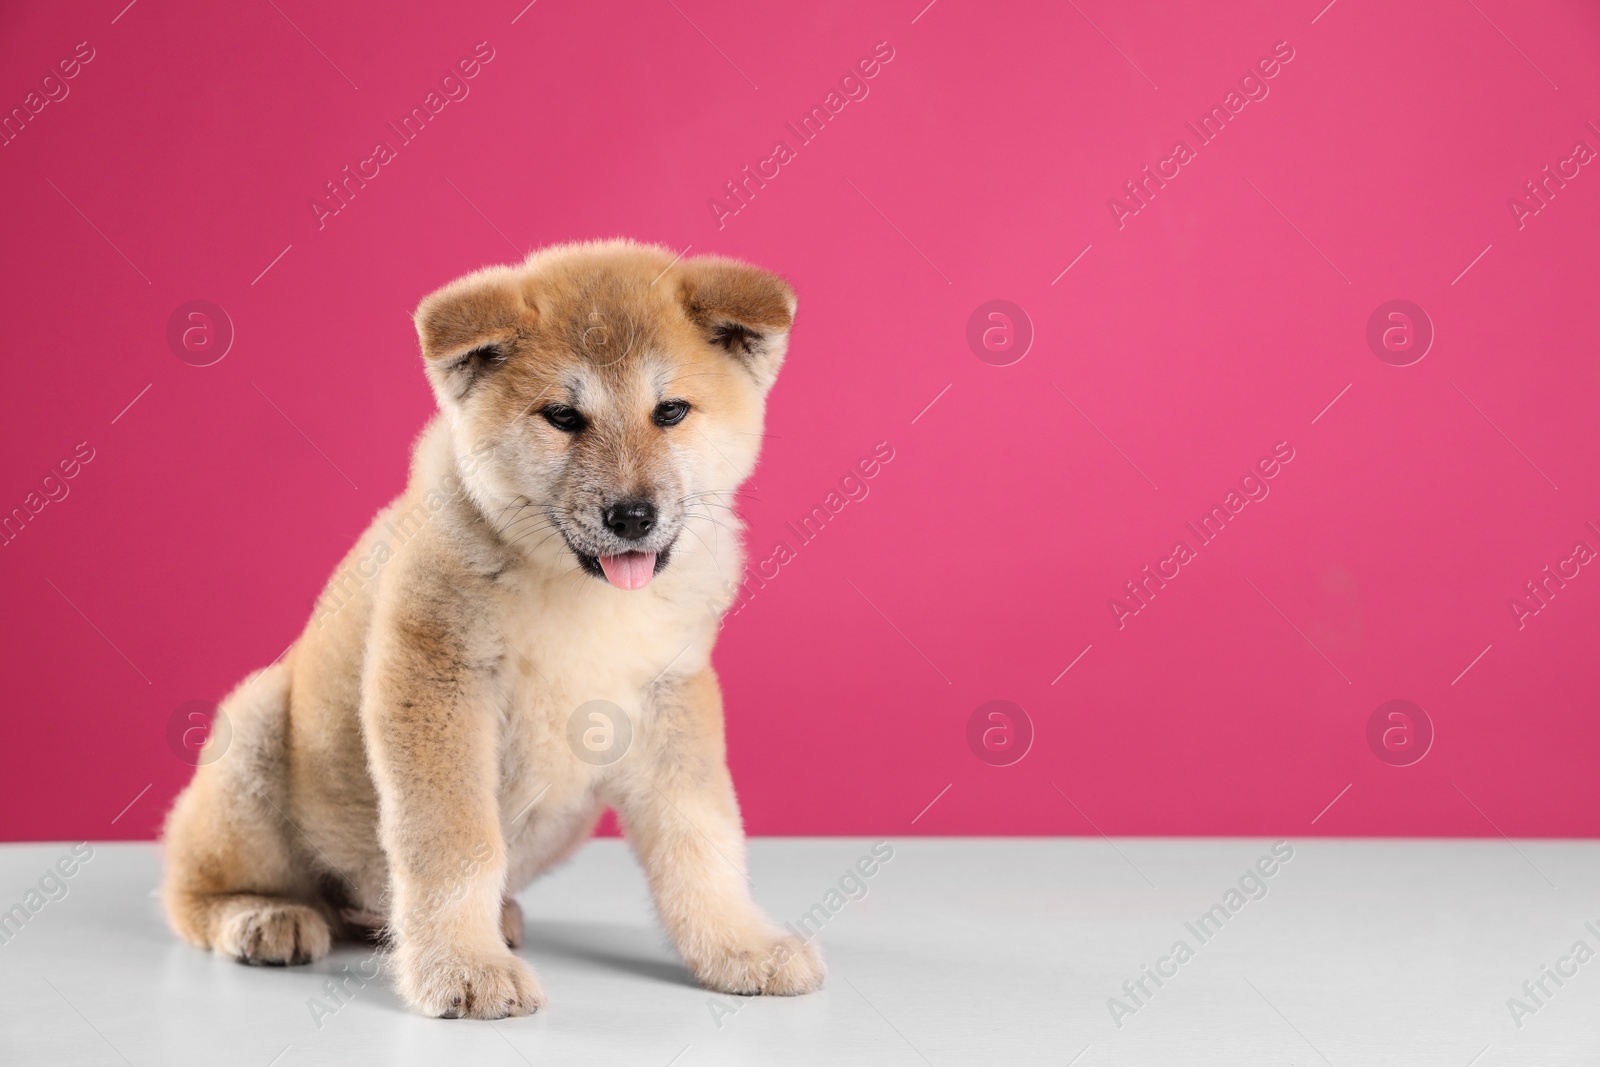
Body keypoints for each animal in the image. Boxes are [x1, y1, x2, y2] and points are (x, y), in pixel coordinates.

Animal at [159, 238, 825, 1017]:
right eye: (563, 416)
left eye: (671, 411)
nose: (632, 516)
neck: (582, 595)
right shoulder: (436, 680)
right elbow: (455, 842)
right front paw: (464, 966)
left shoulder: (671, 698)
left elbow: (702, 838)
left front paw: (738, 945)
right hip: (258, 727)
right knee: (190, 885)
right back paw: (262, 915)